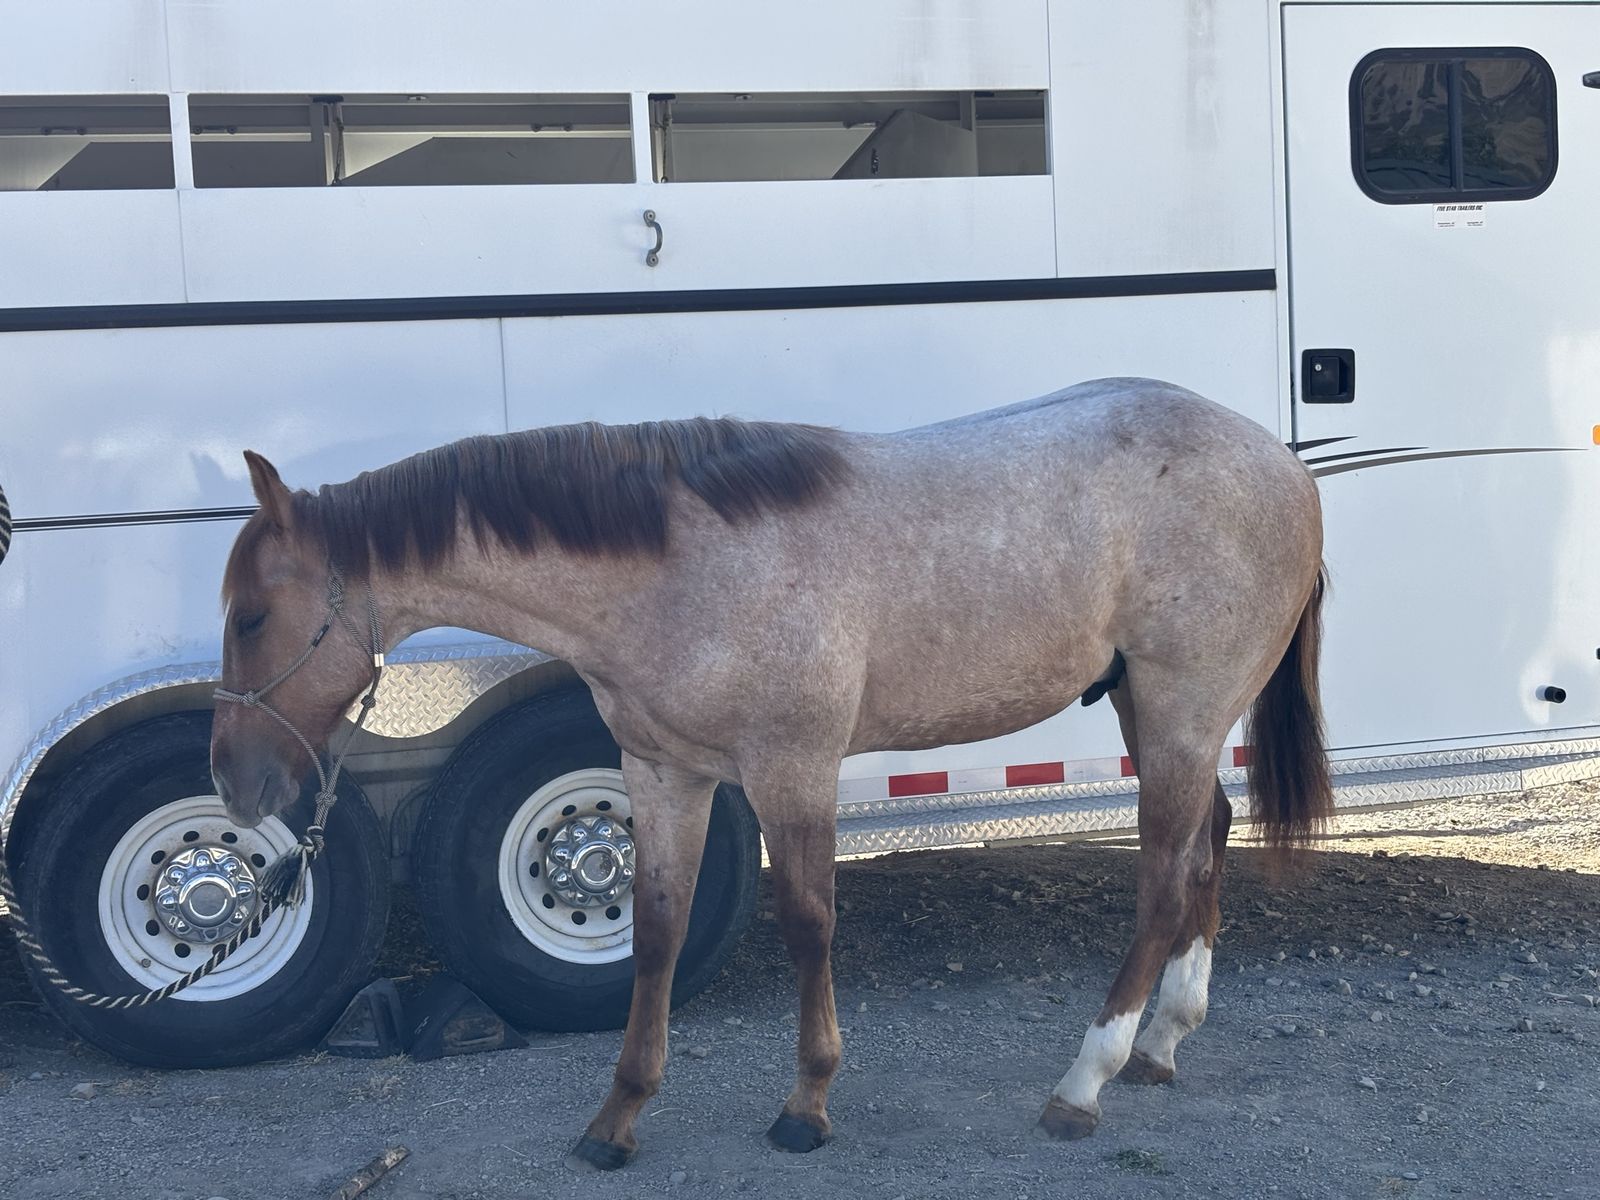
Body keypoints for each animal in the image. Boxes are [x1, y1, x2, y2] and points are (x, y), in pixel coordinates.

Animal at [210, 376, 1331, 1167]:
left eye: (254, 616)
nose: (234, 780)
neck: (677, 568)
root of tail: (1285, 466)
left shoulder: (791, 766)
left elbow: (805, 922)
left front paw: (808, 1103)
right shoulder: (662, 772)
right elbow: (655, 933)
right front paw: (617, 1116)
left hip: (1182, 710)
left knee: (1161, 882)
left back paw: (1083, 1081)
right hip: (1157, 708)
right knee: (1205, 844)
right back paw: (1162, 1042)